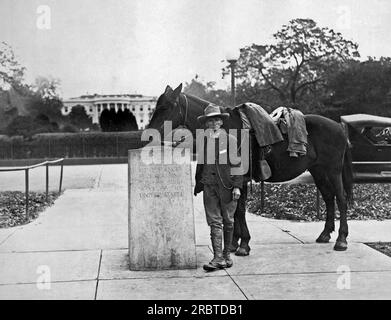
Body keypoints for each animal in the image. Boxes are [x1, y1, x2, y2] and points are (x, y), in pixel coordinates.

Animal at [148, 84, 356, 252]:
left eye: (165, 107)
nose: (149, 134)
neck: (227, 129)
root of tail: (339, 127)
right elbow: (234, 210)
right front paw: (234, 243)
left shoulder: (241, 179)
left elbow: (239, 209)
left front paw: (243, 244)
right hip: (319, 172)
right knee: (329, 199)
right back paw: (325, 234)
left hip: (333, 171)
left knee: (341, 199)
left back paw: (341, 240)